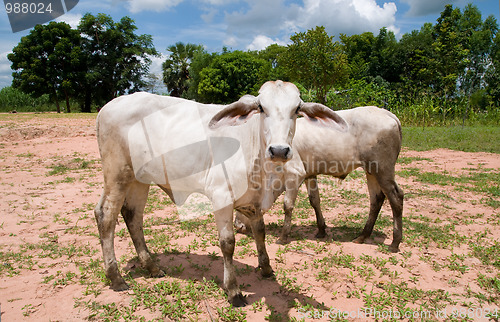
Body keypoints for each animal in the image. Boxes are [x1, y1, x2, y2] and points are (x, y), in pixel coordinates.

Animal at [93, 80, 348, 304]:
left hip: (139, 180)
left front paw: (266, 268)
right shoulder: (221, 197)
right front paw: (233, 290)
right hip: (117, 174)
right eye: (261, 108)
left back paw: (152, 266)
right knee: (105, 215)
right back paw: (115, 277)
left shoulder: (254, 202)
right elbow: (228, 243)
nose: (278, 150)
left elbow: (260, 232)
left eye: (296, 109)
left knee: (133, 216)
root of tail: (108, 106)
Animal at [236, 107, 404, 253]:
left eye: (244, 207)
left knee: (396, 197)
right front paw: (321, 230)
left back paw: (395, 243)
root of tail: (386, 113)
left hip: (383, 169)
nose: (238, 226)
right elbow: (314, 201)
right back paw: (363, 236)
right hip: (371, 171)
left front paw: (283, 237)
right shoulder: (310, 175)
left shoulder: (295, 174)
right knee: (376, 199)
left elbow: (288, 205)